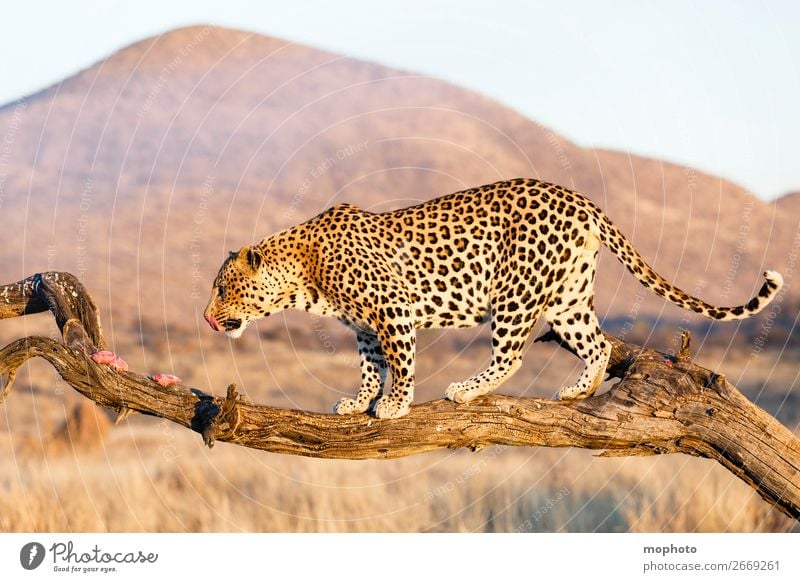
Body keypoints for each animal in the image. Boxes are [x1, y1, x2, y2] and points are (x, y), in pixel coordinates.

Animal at [202, 178, 780, 420]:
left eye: (224, 288)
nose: (207, 318)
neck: (301, 278)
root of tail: (580, 199)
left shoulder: (393, 312)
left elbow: (400, 366)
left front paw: (393, 406)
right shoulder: (365, 326)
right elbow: (369, 366)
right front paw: (359, 400)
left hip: (516, 293)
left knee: (513, 354)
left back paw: (466, 390)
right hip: (568, 300)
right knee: (595, 345)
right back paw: (578, 391)